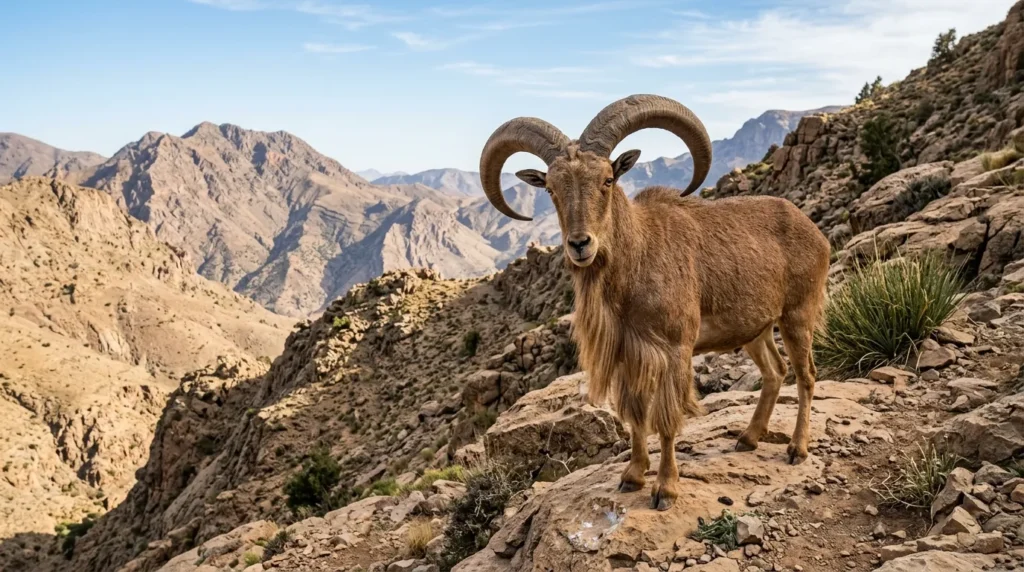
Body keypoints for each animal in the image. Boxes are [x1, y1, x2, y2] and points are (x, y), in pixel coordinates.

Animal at [478, 94, 831, 510]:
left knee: (806, 375)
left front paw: (665, 488)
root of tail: (812, 229)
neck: (638, 258)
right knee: (775, 371)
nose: (580, 244)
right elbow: (634, 416)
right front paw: (632, 476)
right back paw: (748, 438)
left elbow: (665, 420)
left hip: (797, 314)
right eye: (550, 188)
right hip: (754, 329)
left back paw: (797, 448)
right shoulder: (627, 356)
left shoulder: (675, 349)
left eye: (608, 180)